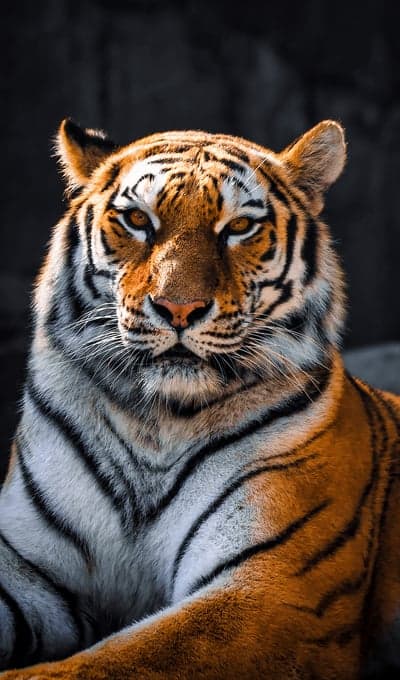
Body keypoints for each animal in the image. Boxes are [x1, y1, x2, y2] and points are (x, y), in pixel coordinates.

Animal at [0, 117, 399, 680]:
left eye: (239, 227)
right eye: (137, 220)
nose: (178, 308)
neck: (156, 420)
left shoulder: (274, 590)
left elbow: (112, 662)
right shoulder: (25, 564)